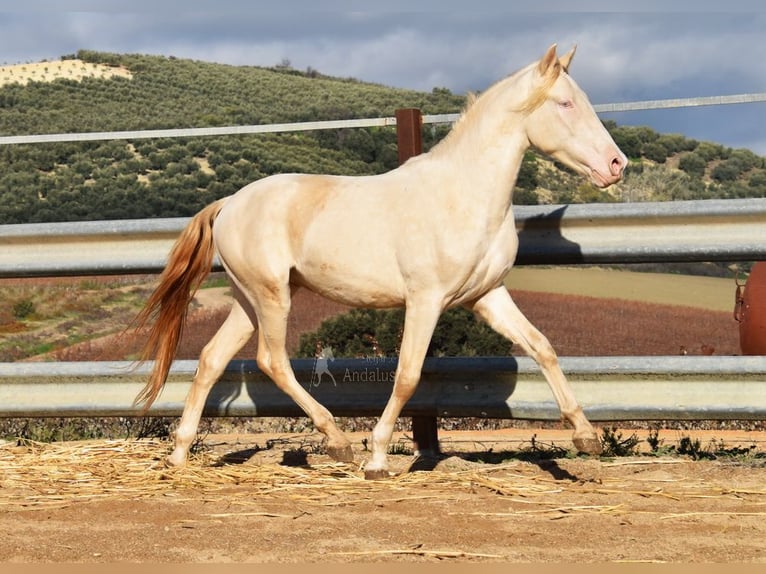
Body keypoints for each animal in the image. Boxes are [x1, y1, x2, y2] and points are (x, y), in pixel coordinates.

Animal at [135, 45, 632, 480]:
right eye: (565, 103)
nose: (616, 164)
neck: (463, 195)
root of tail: (229, 204)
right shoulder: (426, 300)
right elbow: (408, 375)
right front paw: (376, 459)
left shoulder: (487, 297)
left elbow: (542, 347)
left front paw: (586, 437)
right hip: (271, 296)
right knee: (271, 360)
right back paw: (337, 443)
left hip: (248, 299)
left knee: (210, 359)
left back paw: (179, 455)